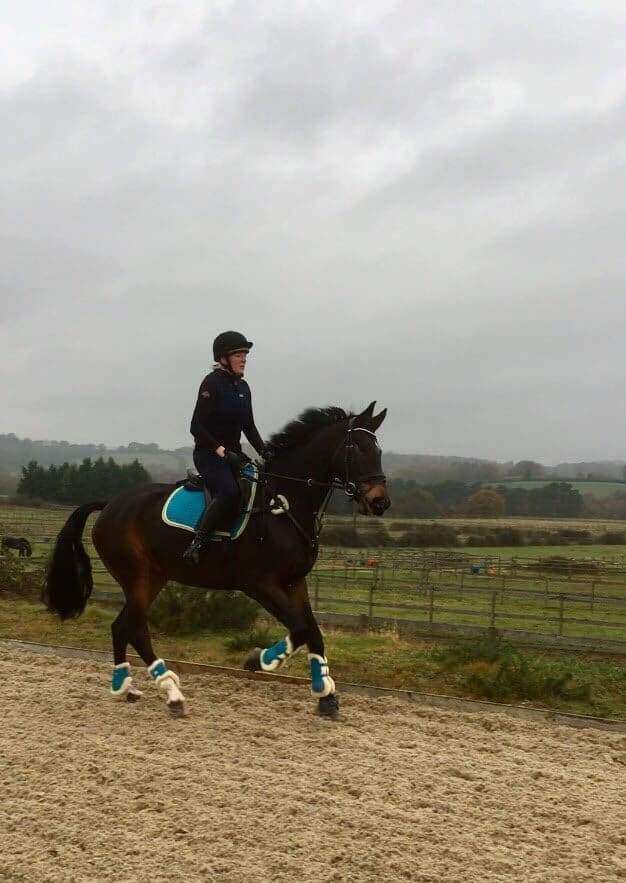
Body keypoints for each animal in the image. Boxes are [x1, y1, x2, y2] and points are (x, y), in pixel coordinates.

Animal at [42, 402, 390, 718]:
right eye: (359, 448)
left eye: (379, 450)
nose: (380, 502)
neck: (284, 503)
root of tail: (110, 504)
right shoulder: (260, 584)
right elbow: (302, 629)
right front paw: (259, 660)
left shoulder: (295, 582)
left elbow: (314, 634)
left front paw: (325, 696)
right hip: (137, 577)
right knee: (136, 630)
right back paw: (172, 694)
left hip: (154, 577)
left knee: (121, 626)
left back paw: (125, 687)